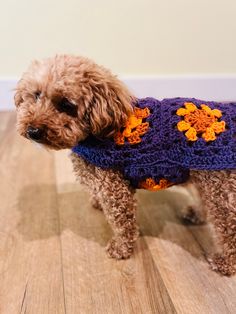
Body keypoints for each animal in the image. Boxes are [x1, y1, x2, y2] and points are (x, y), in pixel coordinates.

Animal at [15, 55, 236, 276]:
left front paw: (120, 249)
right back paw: (195, 214)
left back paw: (225, 262)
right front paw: (97, 203)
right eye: (36, 95)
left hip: (220, 189)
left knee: (227, 228)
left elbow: (122, 224)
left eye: (66, 105)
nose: (33, 131)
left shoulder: (114, 189)